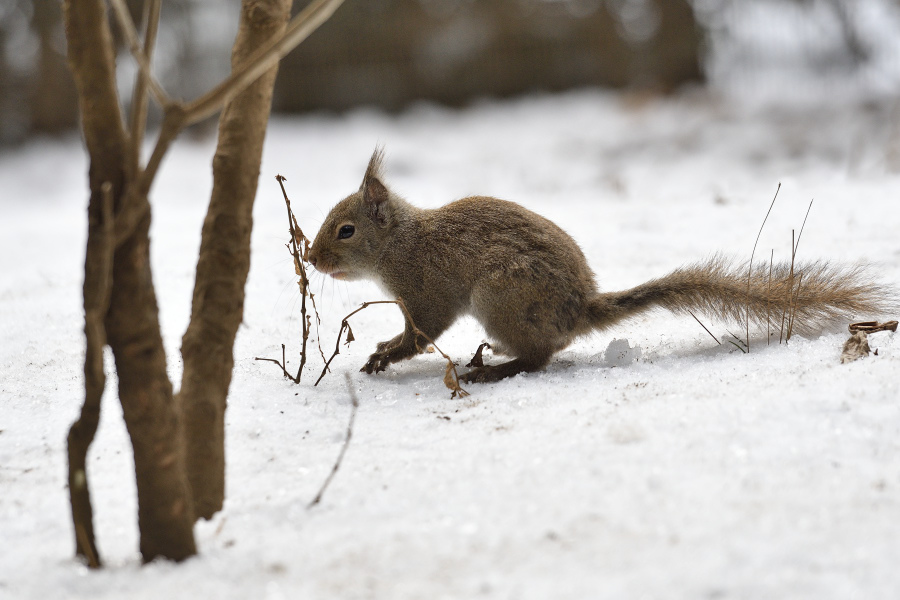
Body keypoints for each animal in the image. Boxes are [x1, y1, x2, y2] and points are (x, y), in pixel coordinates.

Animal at [308, 150, 892, 384]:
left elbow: (421, 333)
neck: (400, 245)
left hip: (502, 296)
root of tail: (580, 310)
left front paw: (385, 355)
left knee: (539, 359)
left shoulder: (426, 292)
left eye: (346, 231)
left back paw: (496, 370)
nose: (312, 260)